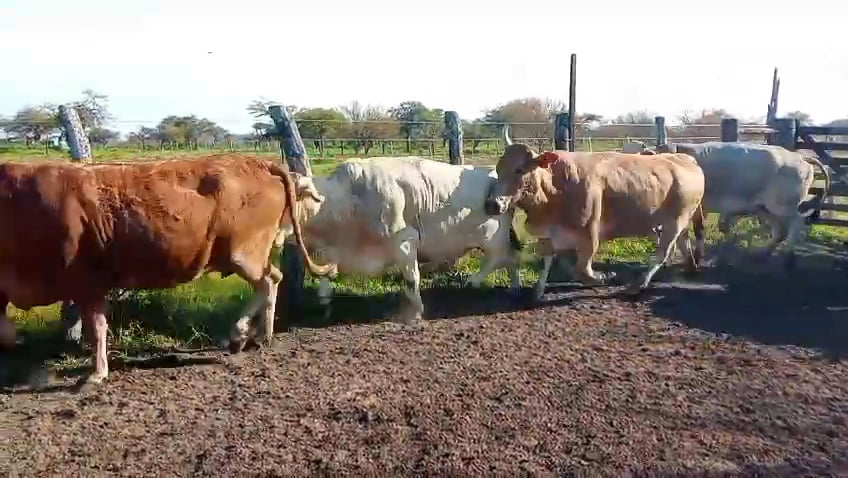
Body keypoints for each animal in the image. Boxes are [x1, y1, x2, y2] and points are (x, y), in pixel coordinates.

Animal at [0, 154, 337, 387]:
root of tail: (261, 162)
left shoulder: (87, 281)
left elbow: (96, 328)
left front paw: (97, 373)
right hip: (244, 254)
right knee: (271, 280)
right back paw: (250, 334)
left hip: (244, 253)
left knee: (269, 281)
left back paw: (250, 333)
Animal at [287, 156, 522, 322]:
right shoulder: (332, 251)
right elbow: (325, 280)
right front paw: (325, 305)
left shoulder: (405, 241)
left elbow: (411, 279)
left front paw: (415, 313)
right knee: (511, 260)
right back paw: (514, 288)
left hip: (493, 237)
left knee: (500, 258)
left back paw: (474, 281)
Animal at [483, 138, 706, 299]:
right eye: (498, 168)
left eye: (519, 169)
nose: (492, 204)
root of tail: (684, 158)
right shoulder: (548, 235)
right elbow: (548, 262)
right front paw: (538, 291)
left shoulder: (589, 235)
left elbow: (582, 269)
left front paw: (603, 277)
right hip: (677, 220)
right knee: (683, 242)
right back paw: (690, 268)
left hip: (675, 221)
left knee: (662, 253)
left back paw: (638, 284)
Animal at [638, 141, 831, 269]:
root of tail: (800, 156)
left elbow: (692, 232)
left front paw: (692, 259)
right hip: (764, 208)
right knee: (780, 230)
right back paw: (763, 254)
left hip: (783, 205)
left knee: (796, 222)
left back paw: (788, 257)